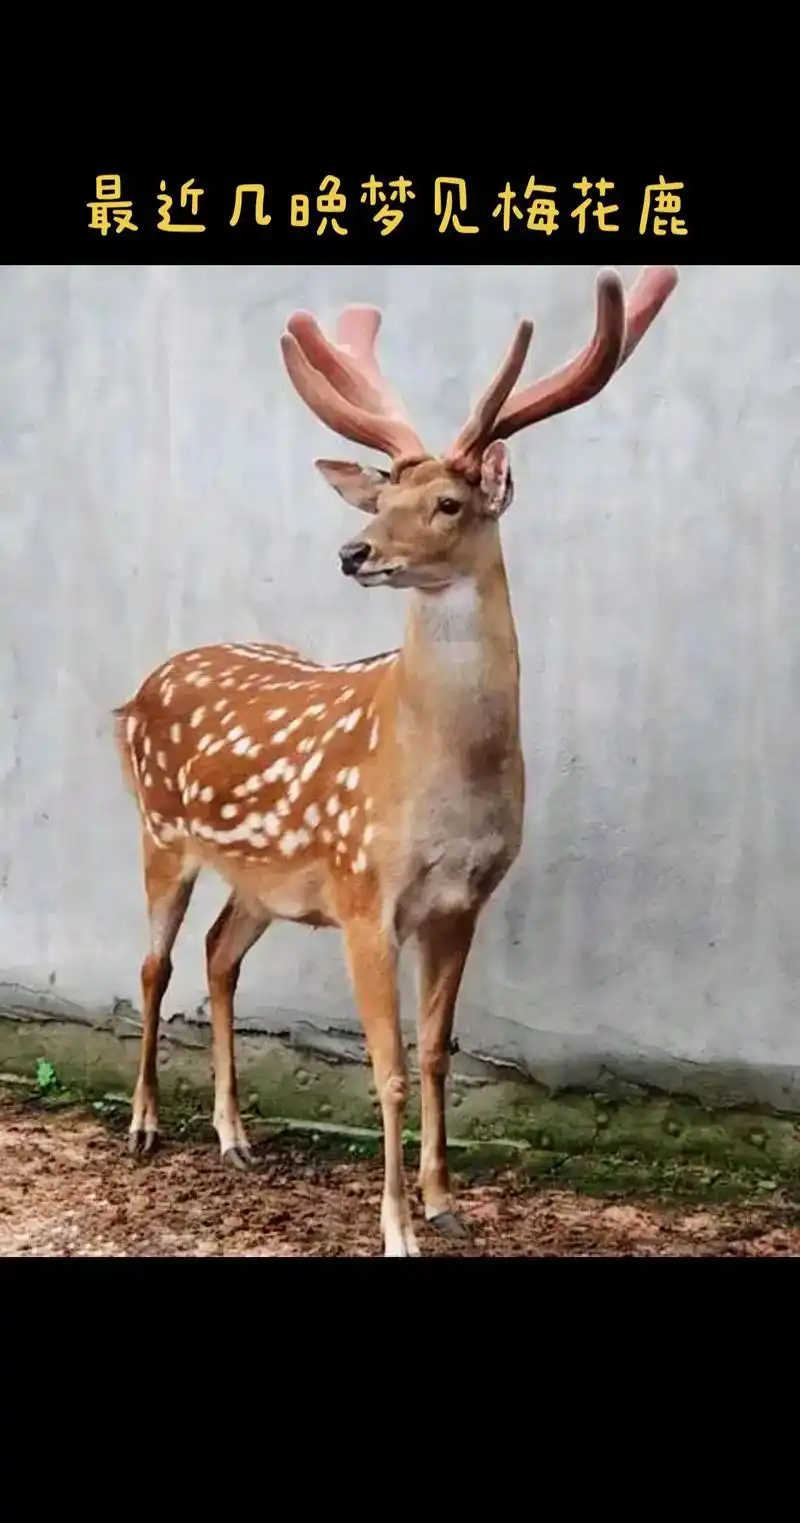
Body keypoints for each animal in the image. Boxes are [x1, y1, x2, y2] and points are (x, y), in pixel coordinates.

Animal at [113, 264, 679, 1256]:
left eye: (447, 503)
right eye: (378, 502)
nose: (353, 551)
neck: (444, 782)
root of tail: (138, 691)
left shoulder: (460, 901)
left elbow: (437, 1052)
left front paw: (446, 1199)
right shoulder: (365, 892)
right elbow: (385, 1069)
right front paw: (397, 1227)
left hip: (265, 879)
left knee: (219, 952)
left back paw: (234, 1135)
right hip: (160, 830)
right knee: (156, 963)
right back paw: (145, 1125)